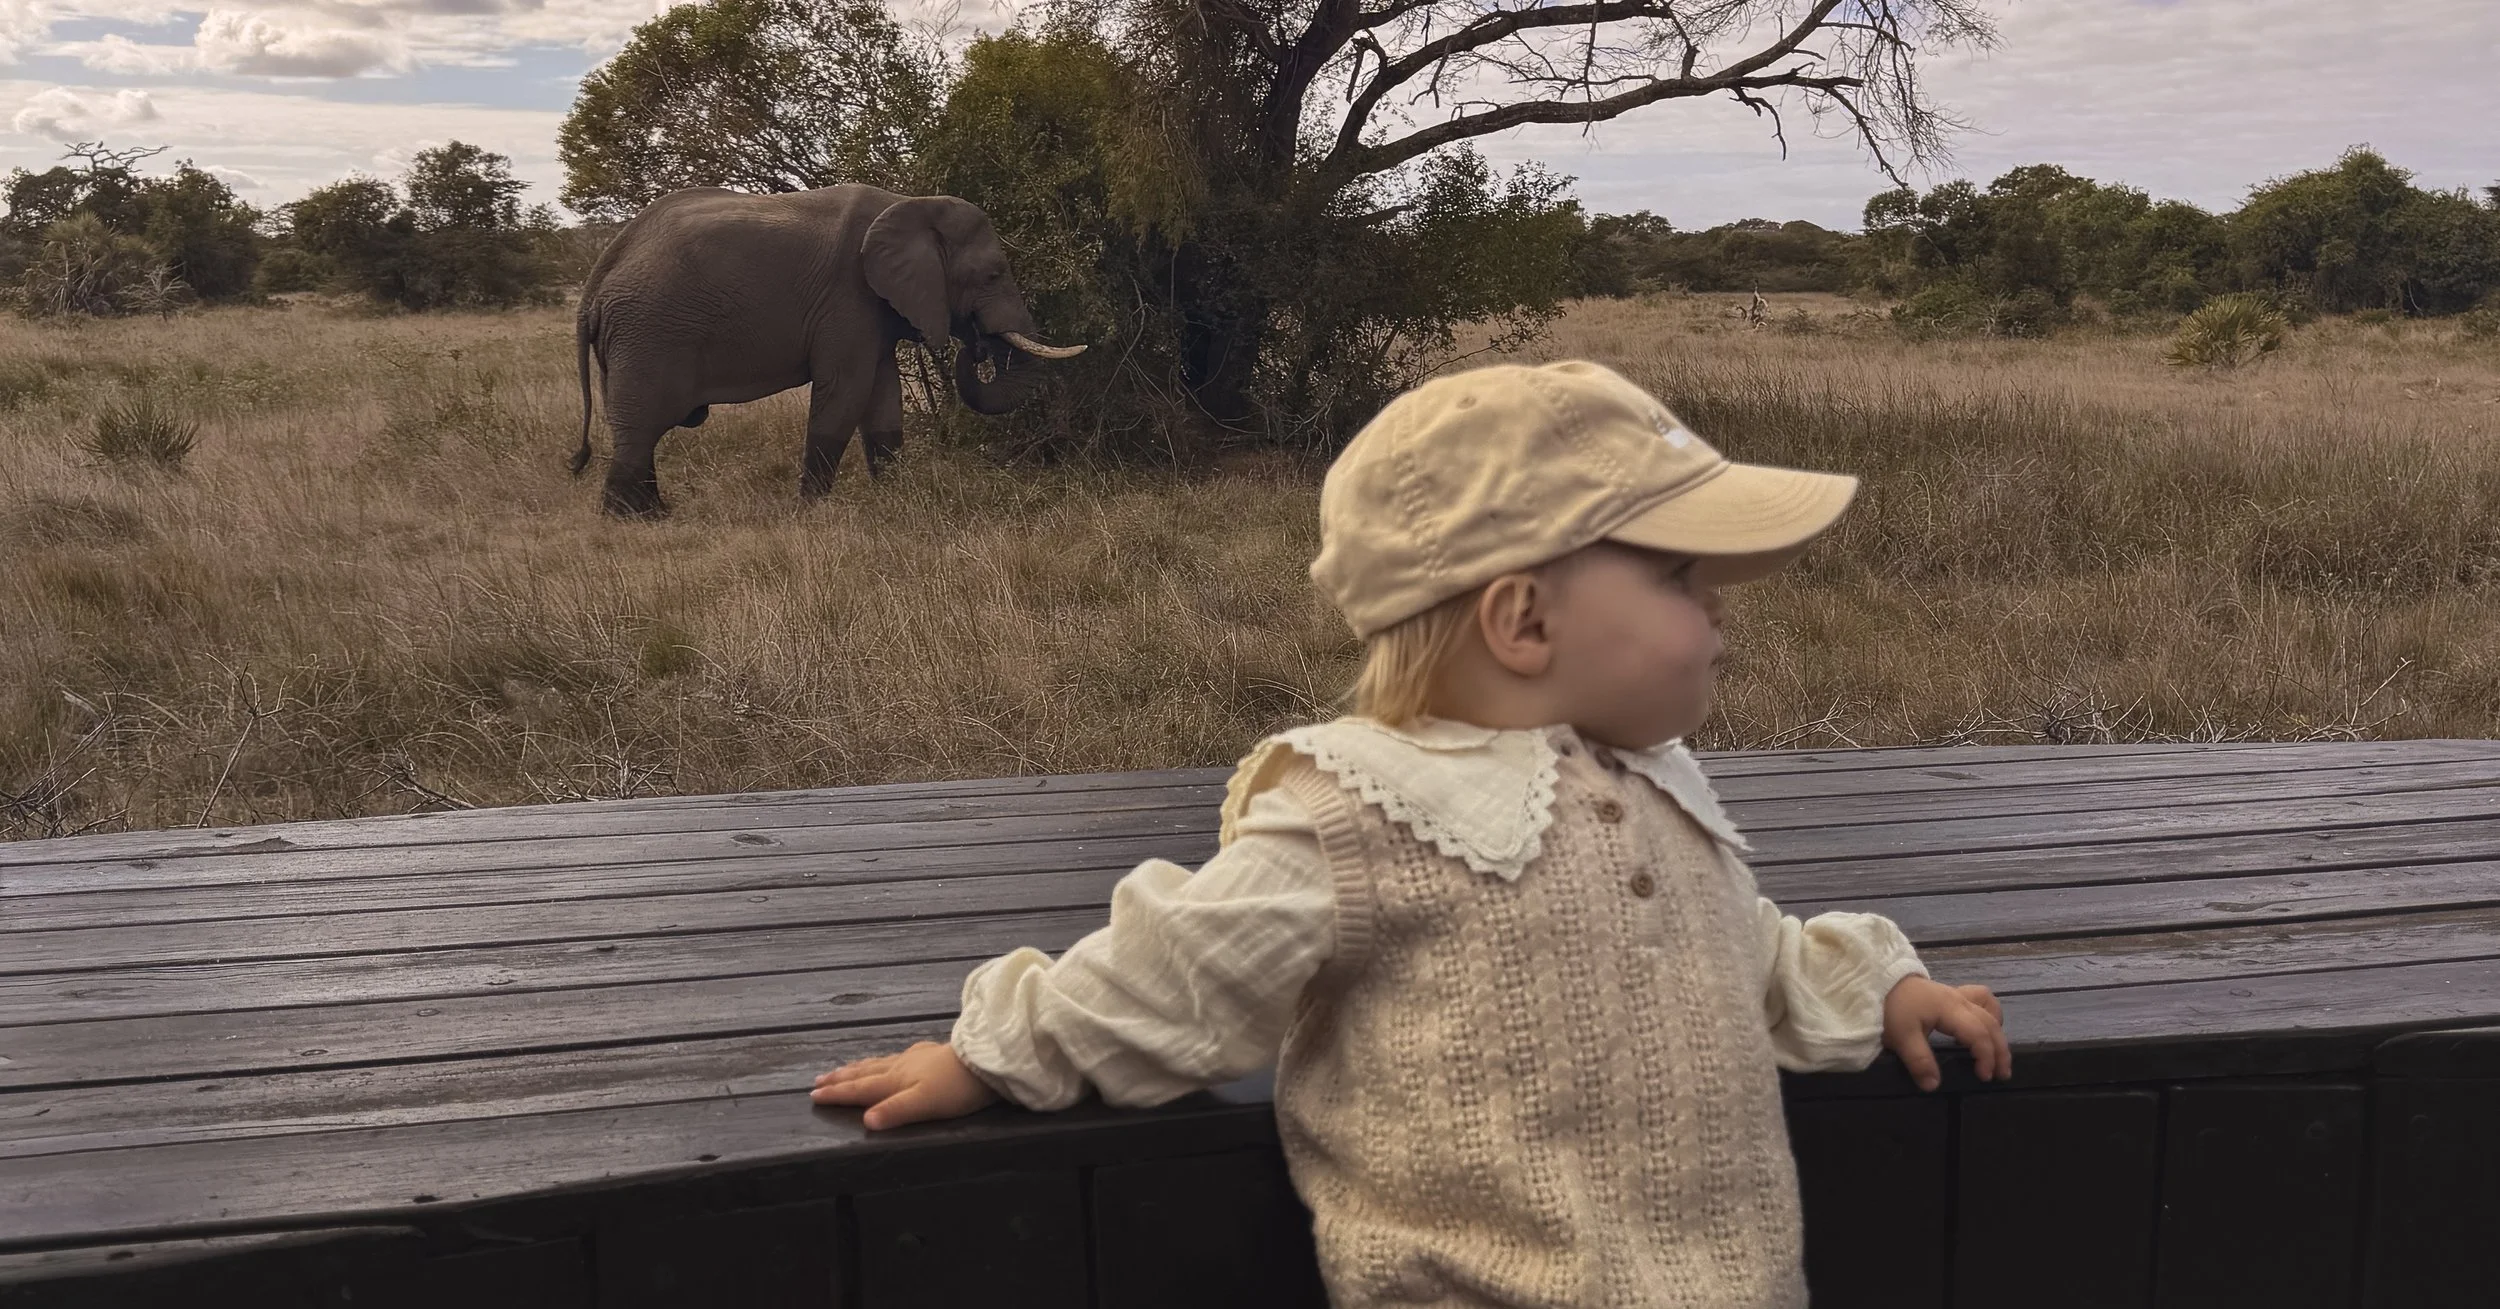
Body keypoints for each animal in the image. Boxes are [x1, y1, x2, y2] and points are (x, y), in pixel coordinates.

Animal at [570, 184, 1087, 517]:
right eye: (993, 274)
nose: (978, 346)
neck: (907, 204)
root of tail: (597, 279)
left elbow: (882, 400)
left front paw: (896, 497)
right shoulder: (847, 298)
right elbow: (845, 393)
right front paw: (811, 511)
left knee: (640, 427)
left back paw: (654, 512)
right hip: (648, 335)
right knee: (642, 426)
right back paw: (632, 520)